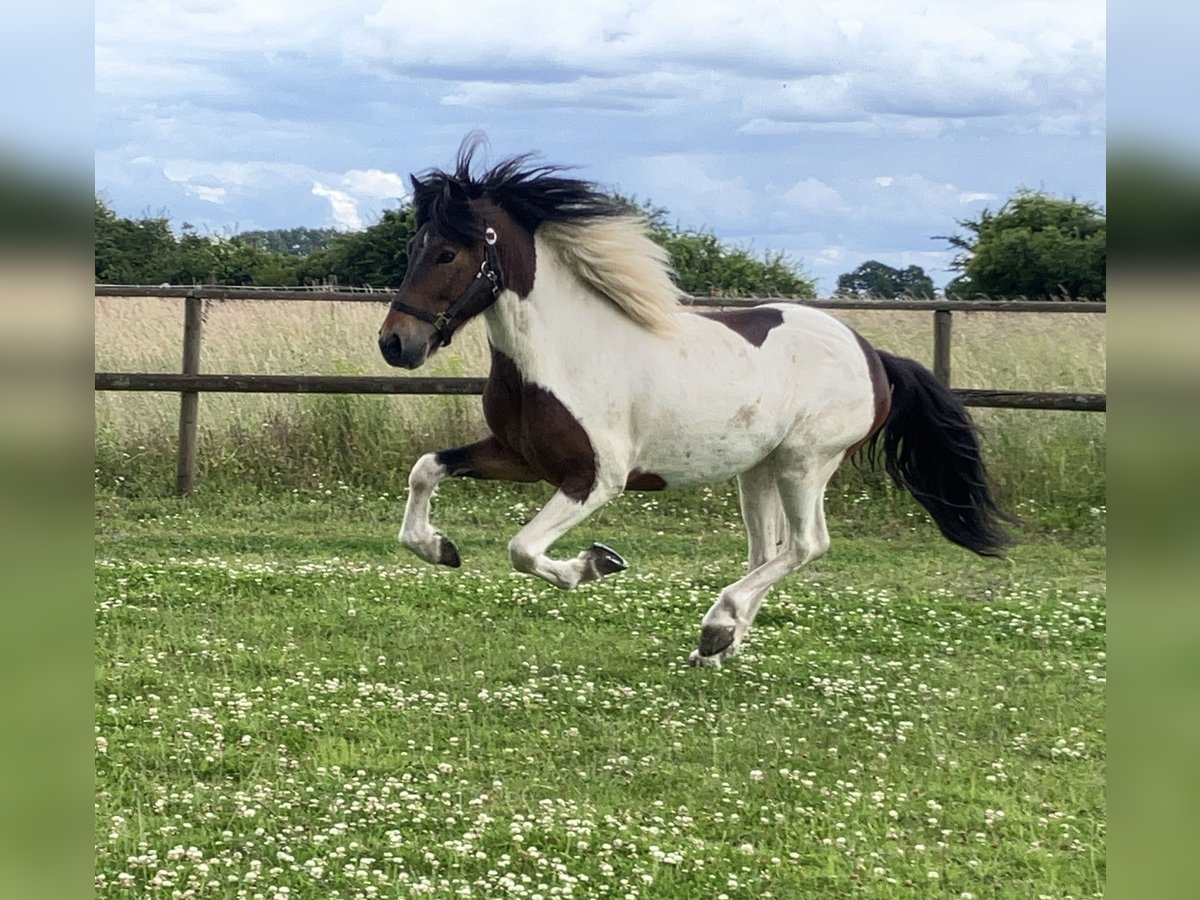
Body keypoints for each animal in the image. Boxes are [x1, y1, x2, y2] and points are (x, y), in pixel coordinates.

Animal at [378, 138, 1013, 666]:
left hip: (806, 463)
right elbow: (425, 469)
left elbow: (523, 549)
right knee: (765, 550)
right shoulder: (520, 457)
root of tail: (873, 355)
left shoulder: (595, 478)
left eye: (448, 253)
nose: (395, 343)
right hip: (758, 470)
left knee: (806, 544)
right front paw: (439, 548)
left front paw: (597, 563)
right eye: (412, 246)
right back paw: (722, 643)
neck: (563, 353)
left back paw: (716, 626)